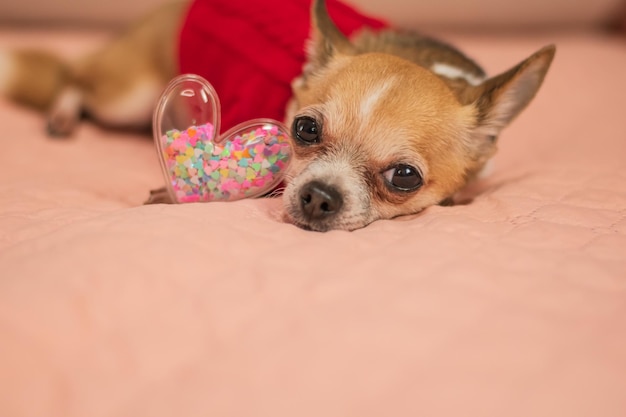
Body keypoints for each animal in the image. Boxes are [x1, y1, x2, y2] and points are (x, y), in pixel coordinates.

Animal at [0, 0, 556, 231]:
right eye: (304, 129)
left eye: (405, 177)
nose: (318, 196)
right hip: (128, 94)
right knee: (75, 77)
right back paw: (64, 114)